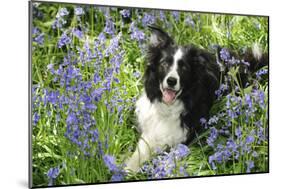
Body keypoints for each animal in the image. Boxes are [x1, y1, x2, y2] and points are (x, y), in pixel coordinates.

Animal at [124, 25, 266, 173]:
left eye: (184, 67)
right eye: (164, 64)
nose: (171, 81)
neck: (169, 108)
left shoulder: (186, 138)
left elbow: (169, 160)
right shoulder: (149, 132)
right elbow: (138, 154)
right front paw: (127, 170)